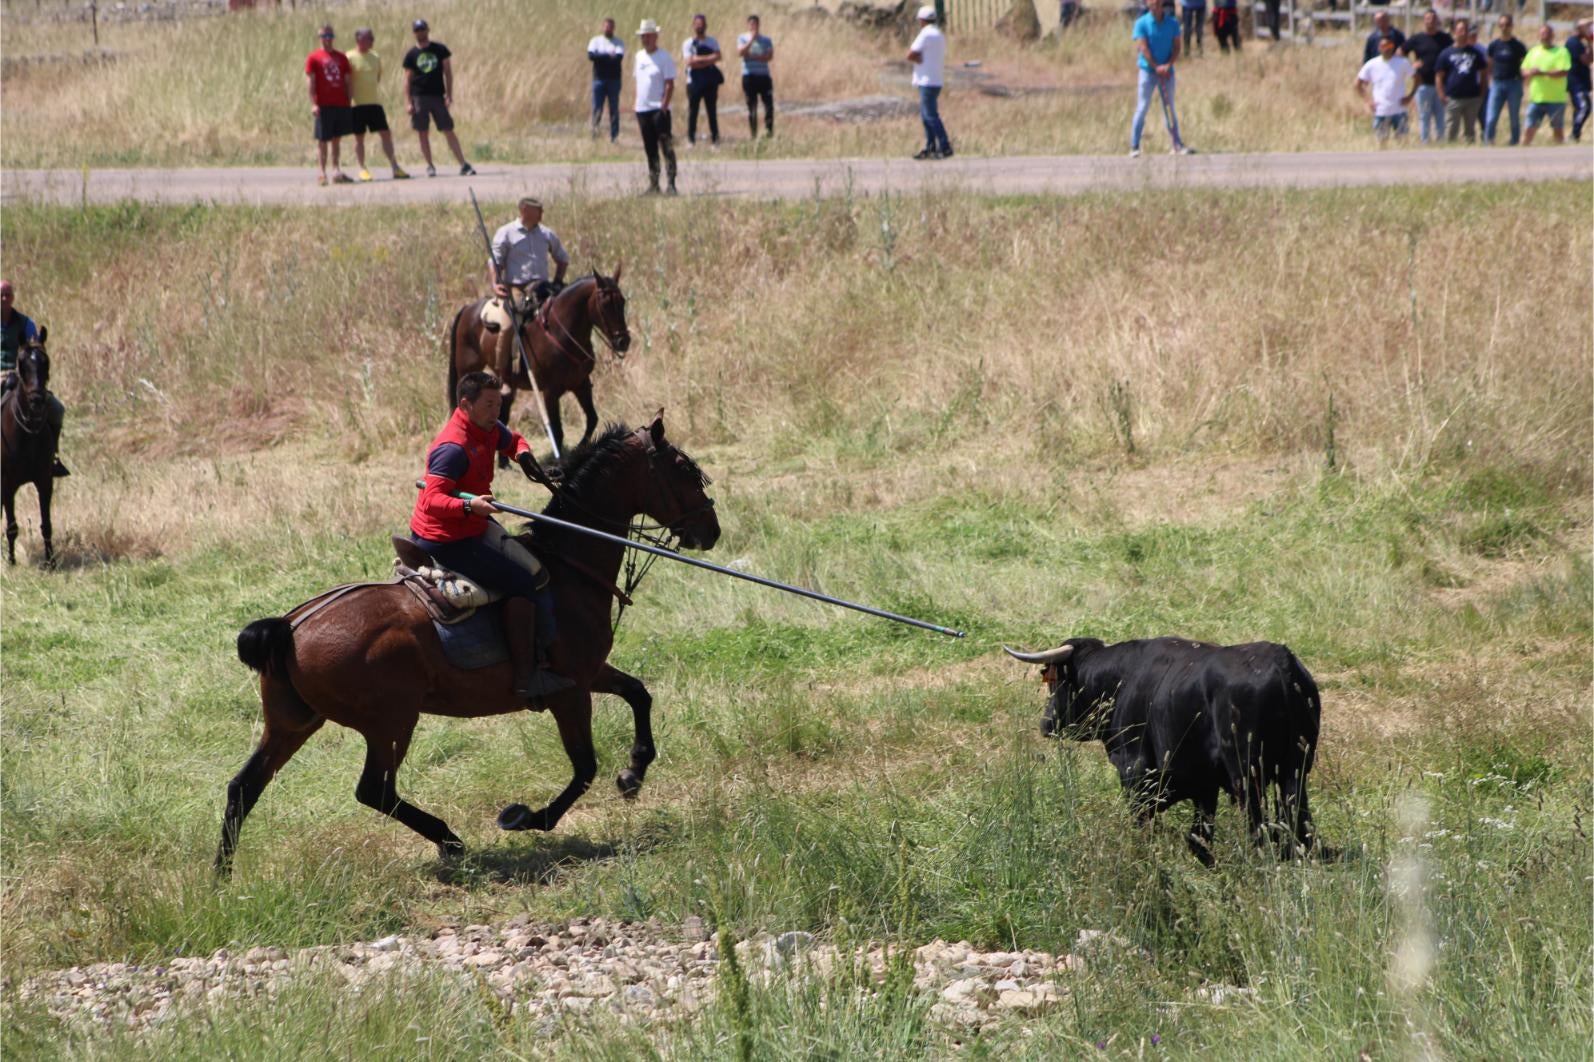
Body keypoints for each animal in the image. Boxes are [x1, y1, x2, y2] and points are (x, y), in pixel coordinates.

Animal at [219, 411, 723, 867]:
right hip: (390, 723)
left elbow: (639, 694)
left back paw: (222, 877)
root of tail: (291, 626)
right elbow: (584, 768)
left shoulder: (590, 673)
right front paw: (526, 817)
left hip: (292, 723)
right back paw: (450, 840)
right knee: (374, 789)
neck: (569, 566)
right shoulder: (570, 691)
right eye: (683, 468)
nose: (711, 530)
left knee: (244, 787)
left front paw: (634, 771)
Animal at [446, 269, 631, 456]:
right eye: (605, 303)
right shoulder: (550, 392)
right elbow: (557, 431)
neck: (561, 334)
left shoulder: (581, 383)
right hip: (467, 370)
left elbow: (592, 418)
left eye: (622, 301)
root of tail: (467, 309)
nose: (623, 341)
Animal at [1007, 637, 1319, 861]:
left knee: (1260, 831)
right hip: (1295, 773)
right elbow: (1199, 839)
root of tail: (1282, 663)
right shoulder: (1204, 787)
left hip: (1247, 777)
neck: (1121, 681)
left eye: (1055, 684)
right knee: (1300, 828)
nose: (1045, 723)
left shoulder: (1135, 774)